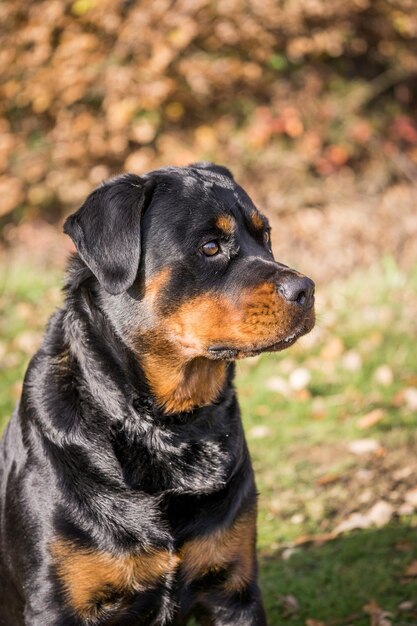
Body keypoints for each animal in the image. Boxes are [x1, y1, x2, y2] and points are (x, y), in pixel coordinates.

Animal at [0, 163, 312, 620]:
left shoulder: (233, 588)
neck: (168, 428)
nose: (306, 289)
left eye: (266, 236)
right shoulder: (56, 604)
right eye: (211, 247)